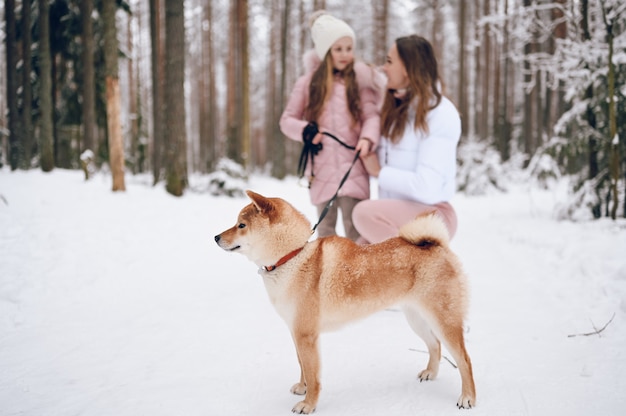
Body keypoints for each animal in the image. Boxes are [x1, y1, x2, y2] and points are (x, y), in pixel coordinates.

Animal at [213, 191, 472, 412]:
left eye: (241, 225)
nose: (215, 237)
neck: (292, 257)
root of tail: (437, 245)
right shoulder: (296, 332)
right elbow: (302, 366)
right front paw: (302, 388)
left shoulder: (306, 335)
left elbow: (313, 374)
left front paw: (308, 404)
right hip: (416, 318)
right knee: (434, 345)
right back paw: (431, 373)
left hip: (444, 321)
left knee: (464, 359)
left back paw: (468, 397)